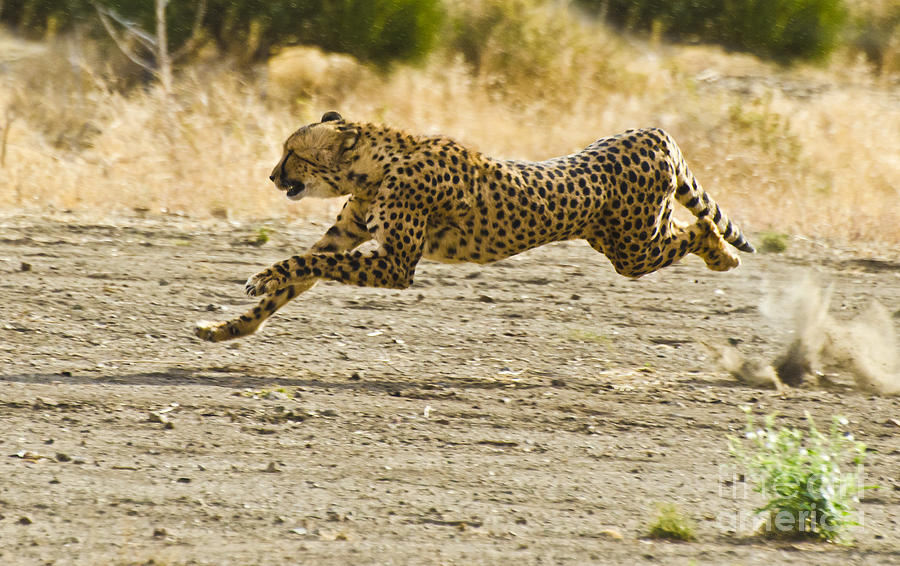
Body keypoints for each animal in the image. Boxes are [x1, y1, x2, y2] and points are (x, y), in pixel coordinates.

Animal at [195, 111, 752, 342]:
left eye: (293, 154)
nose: (272, 175)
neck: (379, 163)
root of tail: (651, 132)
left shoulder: (396, 265)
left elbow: (307, 263)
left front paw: (261, 278)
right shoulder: (348, 236)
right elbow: (302, 272)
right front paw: (227, 329)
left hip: (632, 251)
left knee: (701, 228)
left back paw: (724, 256)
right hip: (624, 243)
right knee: (690, 225)